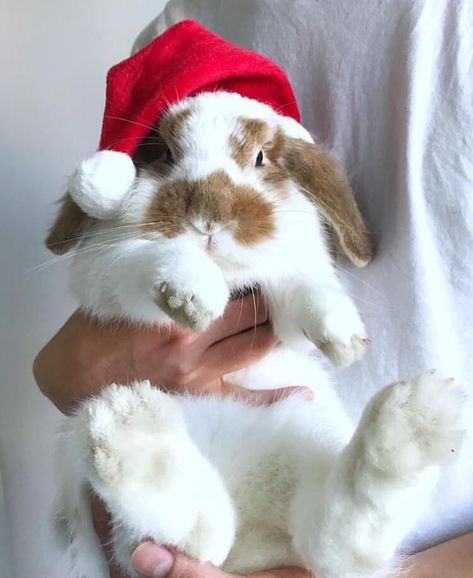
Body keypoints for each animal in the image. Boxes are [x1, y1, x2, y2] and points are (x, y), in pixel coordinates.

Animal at [47, 92, 464, 576]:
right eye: (165, 154)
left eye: (261, 157)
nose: (208, 220)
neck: (229, 277)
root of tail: (253, 549)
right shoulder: (109, 272)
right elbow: (150, 261)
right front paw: (193, 296)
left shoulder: (285, 293)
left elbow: (305, 289)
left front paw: (344, 337)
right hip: (95, 479)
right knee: (198, 537)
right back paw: (132, 433)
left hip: (302, 428)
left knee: (334, 543)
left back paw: (414, 423)